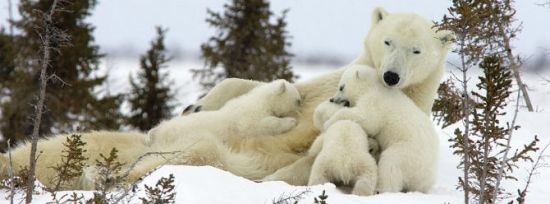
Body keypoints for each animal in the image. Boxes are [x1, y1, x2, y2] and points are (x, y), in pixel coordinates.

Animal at [146, 79, 302, 147]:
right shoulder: (247, 117)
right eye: (298, 100)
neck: (262, 100)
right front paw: (291, 121)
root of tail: (157, 132)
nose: (301, 105)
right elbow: (257, 126)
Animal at [328, 65, 440, 193]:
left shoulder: (375, 101)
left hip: (408, 152)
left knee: (390, 164)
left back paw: (381, 189)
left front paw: (329, 121)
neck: (372, 86)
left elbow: (368, 119)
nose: (332, 99)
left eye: (341, 87)